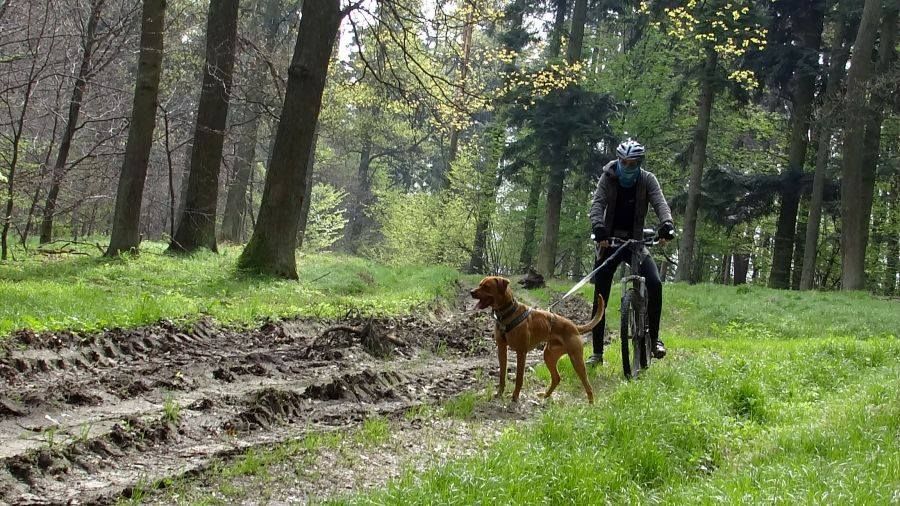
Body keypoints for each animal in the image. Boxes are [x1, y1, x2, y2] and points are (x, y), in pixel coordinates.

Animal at [472, 276, 604, 404]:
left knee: (587, 384)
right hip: (549, 355)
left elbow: (519, 378)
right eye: (480, 284)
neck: (507, 313)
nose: (471, 292)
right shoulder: (501, 349)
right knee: (556, 378)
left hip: (576, 360)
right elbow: (502, 375)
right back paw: (545, 395)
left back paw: (591, 404)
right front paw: (499, 393)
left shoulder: (521, 352)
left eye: (486, 286)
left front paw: (515, 396)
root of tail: (574, 327)